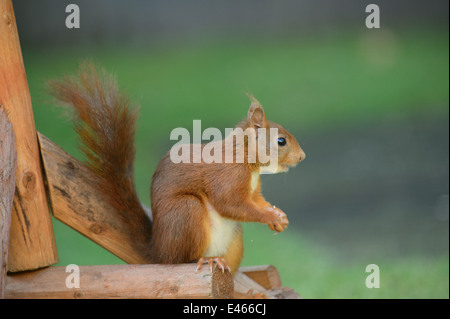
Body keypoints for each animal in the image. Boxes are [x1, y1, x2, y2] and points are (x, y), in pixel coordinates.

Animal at [49, 62, 304, 276]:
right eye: (281, 141)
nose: (302, 157)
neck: (245, 160)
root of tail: (159, 250)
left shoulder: (253, 189)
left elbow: (256, 200)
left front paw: (278, 216)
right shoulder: (227, 176)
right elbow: (230, 203)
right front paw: (269, 215)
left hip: (233, 239)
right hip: (186, 213)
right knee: (180, 260)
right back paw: (206, 260)